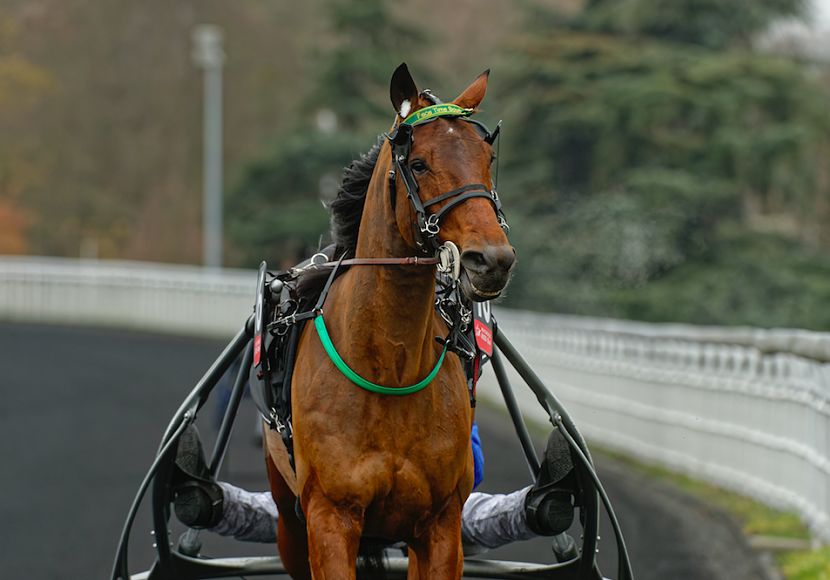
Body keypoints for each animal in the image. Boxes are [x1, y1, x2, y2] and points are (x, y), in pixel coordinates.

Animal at [264, 64, 512, 580]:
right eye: (418, 164)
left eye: (488, 156)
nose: (492, 260)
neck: (390, 366)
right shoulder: (329, 517)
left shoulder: (441, 525)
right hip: (288, 517)